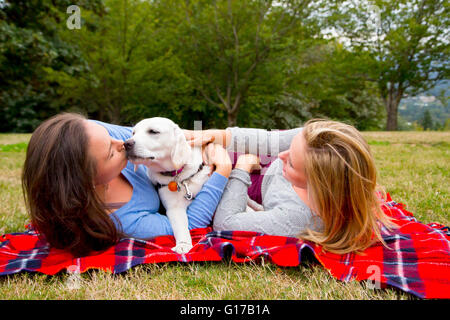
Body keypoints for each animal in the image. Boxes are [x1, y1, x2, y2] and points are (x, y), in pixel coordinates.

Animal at [124, 116, 212, 254]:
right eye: (133, 133)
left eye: (153, 131)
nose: (126, 144)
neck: (179, 176)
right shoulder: (174, 208)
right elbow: (181, 227)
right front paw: (183, 244)